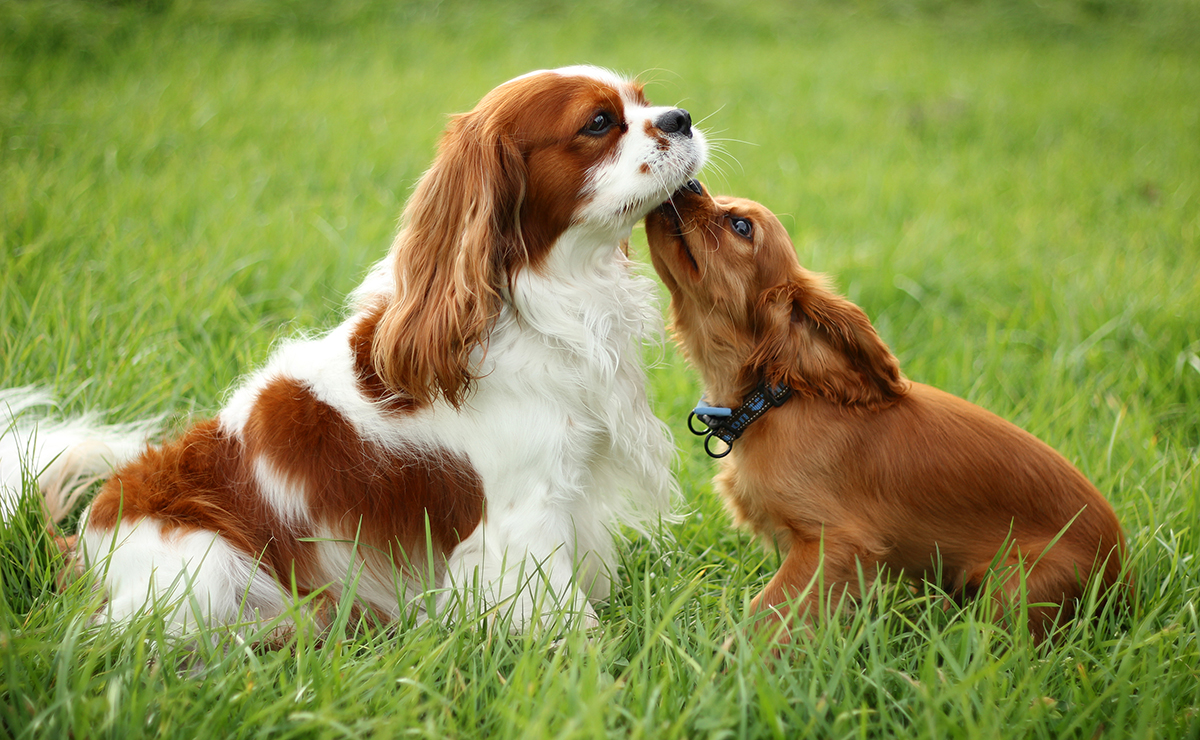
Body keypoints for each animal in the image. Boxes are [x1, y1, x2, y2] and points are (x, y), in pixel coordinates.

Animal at [0, 66, 705, 633]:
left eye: (645, 101)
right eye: (599, 123)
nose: (682, 117)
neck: (537, 300)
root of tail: (81, 546)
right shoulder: (523, 516)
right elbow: (560, 617)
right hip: (205, 565)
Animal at [648, 183, 1123, 642]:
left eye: (741, 226)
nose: (689, 182)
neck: (775, 399)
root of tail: (1125, 580)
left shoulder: (834, 542)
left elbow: (766, 613)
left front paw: (729, 663)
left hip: (1017, 585)